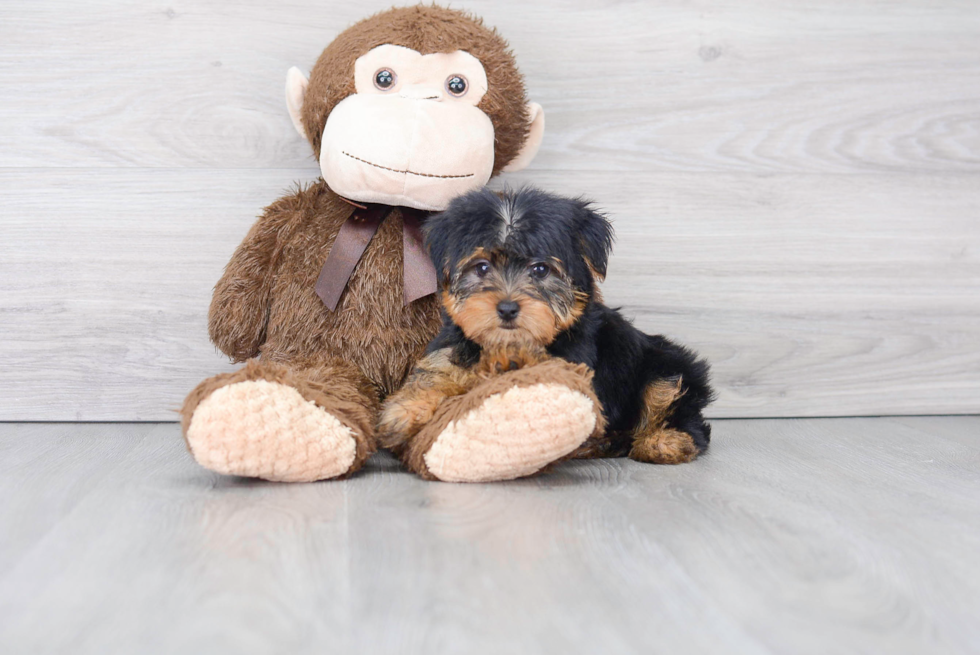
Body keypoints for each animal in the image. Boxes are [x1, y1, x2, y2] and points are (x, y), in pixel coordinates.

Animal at [380, 188, 712, 466]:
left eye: (540, 270)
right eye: (481, 267)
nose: (507, 308)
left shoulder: (573, 363)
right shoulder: (453, 346)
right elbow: (438, 372)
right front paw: (404, 411)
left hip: (666, 364)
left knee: (673, 400)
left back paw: (666, 441)